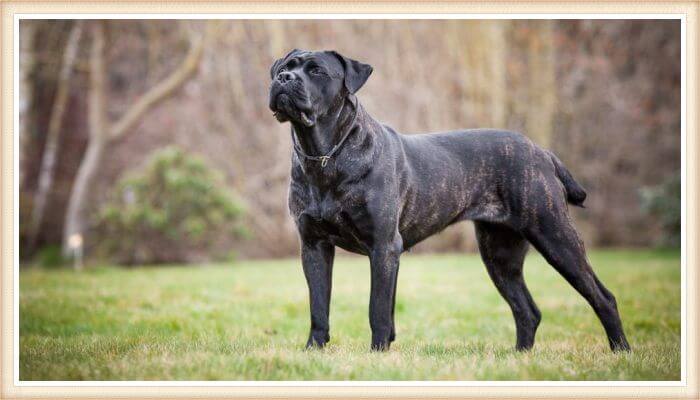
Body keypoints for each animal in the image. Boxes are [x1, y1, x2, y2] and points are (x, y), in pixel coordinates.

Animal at [266, 48, 628, 352]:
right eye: (285, 68)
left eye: (316, 71)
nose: (283, 79)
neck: (324, 154)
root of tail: (541, 151)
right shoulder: (314, 245)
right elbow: (319, 305)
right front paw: (314, 351)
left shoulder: (383, 246)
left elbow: (377, 308)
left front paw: (377, 353)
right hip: (499, 252)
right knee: (527, 309)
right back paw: (520, 356)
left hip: (554, 234)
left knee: (603, 297)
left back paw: (620, 351)